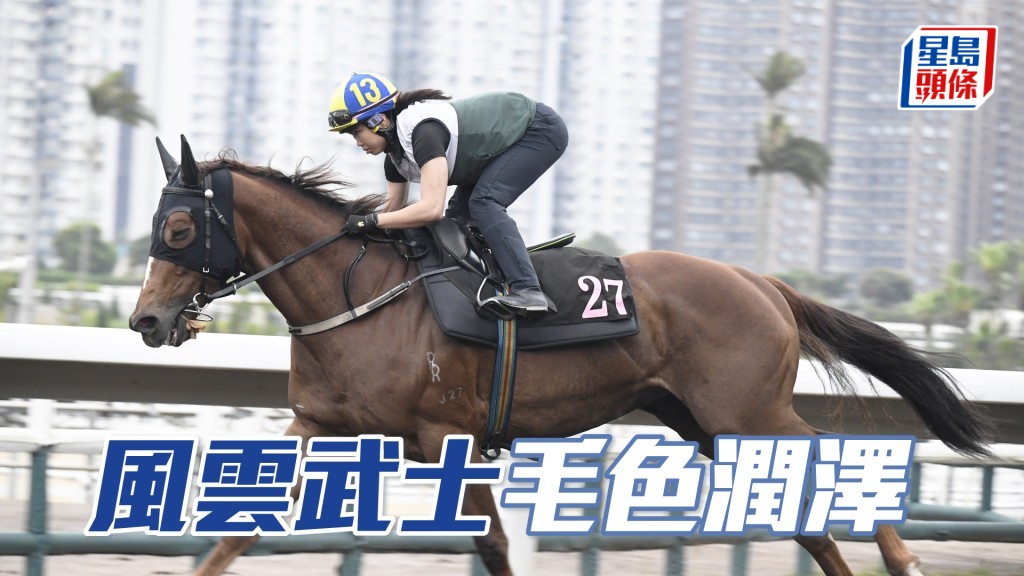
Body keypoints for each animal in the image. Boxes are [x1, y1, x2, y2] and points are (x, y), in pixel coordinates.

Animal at [129, 136, 991, 576]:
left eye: (179, 229)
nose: (146, 320)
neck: (359, 293)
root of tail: (763, 283)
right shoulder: (320, 424)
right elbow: (237, 531)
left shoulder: (449, 434)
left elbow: (491, 540)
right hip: (703, 420)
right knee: (804, 514)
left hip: (745, 410)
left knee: (826, 466)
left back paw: (904, 558)